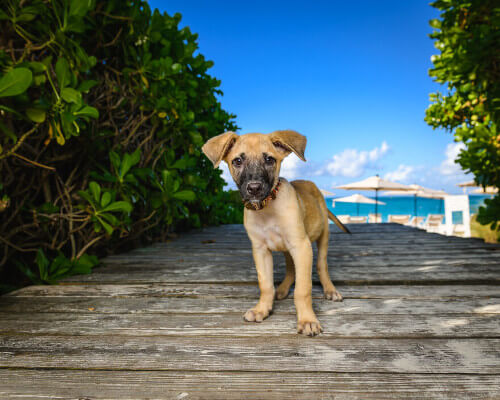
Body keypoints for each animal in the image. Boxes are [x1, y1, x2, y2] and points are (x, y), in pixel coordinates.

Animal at [202, 130, 348, 336]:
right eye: (237, 161)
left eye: (269, 159)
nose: (254, 188)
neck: (267, 210)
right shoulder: (260, 250)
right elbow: (265, 284)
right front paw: (262, 309)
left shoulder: (301, 246)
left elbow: (303, 289)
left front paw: (307, 320)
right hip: (288, 249)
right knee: (291, 268)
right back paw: (283, 289)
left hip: (322, 236)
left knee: (321, 265)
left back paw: (330, 290)